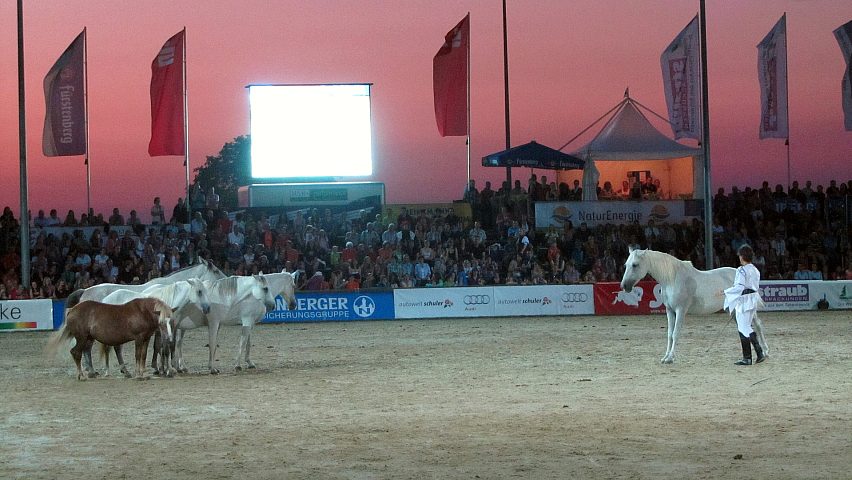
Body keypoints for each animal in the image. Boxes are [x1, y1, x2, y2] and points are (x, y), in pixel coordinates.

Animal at [616, 248, 768, 364]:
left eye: (635, 265)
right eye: (626, 264)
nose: (624, 286)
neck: (672, 278)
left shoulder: (680, 310)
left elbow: (676, 333)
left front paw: (671, 358)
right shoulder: (669, 311)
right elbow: (669, 334)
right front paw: (665, 357)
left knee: (758, 325)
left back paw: (765, 352)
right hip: (732, 310)